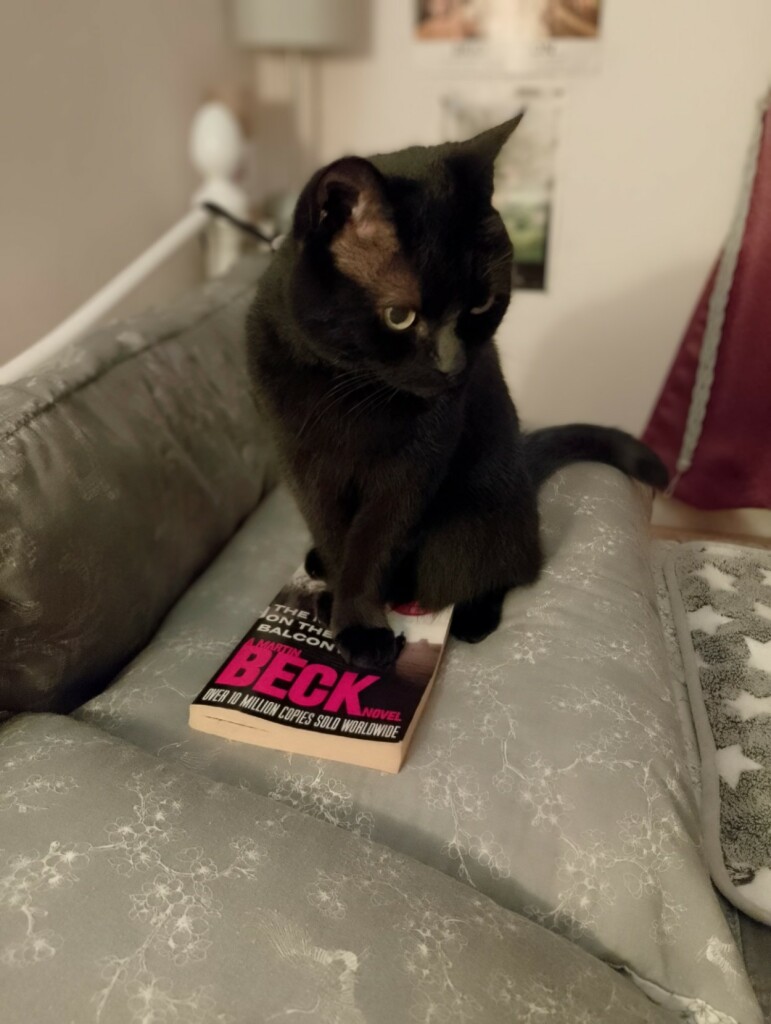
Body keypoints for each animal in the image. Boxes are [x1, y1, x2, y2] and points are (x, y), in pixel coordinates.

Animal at [246, 116, 667, 671]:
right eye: (399, 316)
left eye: (481, 305)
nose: (453, 367)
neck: (347, 388)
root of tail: (525, 468)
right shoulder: (302, 461)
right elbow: (336, 535)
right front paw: (338, 602)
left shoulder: (411, 468)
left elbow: (372, 544)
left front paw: (359, 624)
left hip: (468, 529)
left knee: (503, 568)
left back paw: (472, 617)